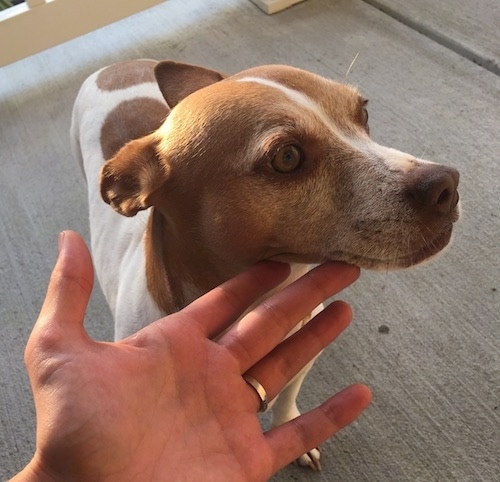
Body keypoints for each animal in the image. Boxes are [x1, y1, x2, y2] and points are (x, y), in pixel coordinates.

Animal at [70, 60, 460, 470]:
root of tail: (117, 66)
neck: (263, 298)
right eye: (286, 157)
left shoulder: (303, 355)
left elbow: (287, 401)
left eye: (364, 113)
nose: (447, 184)